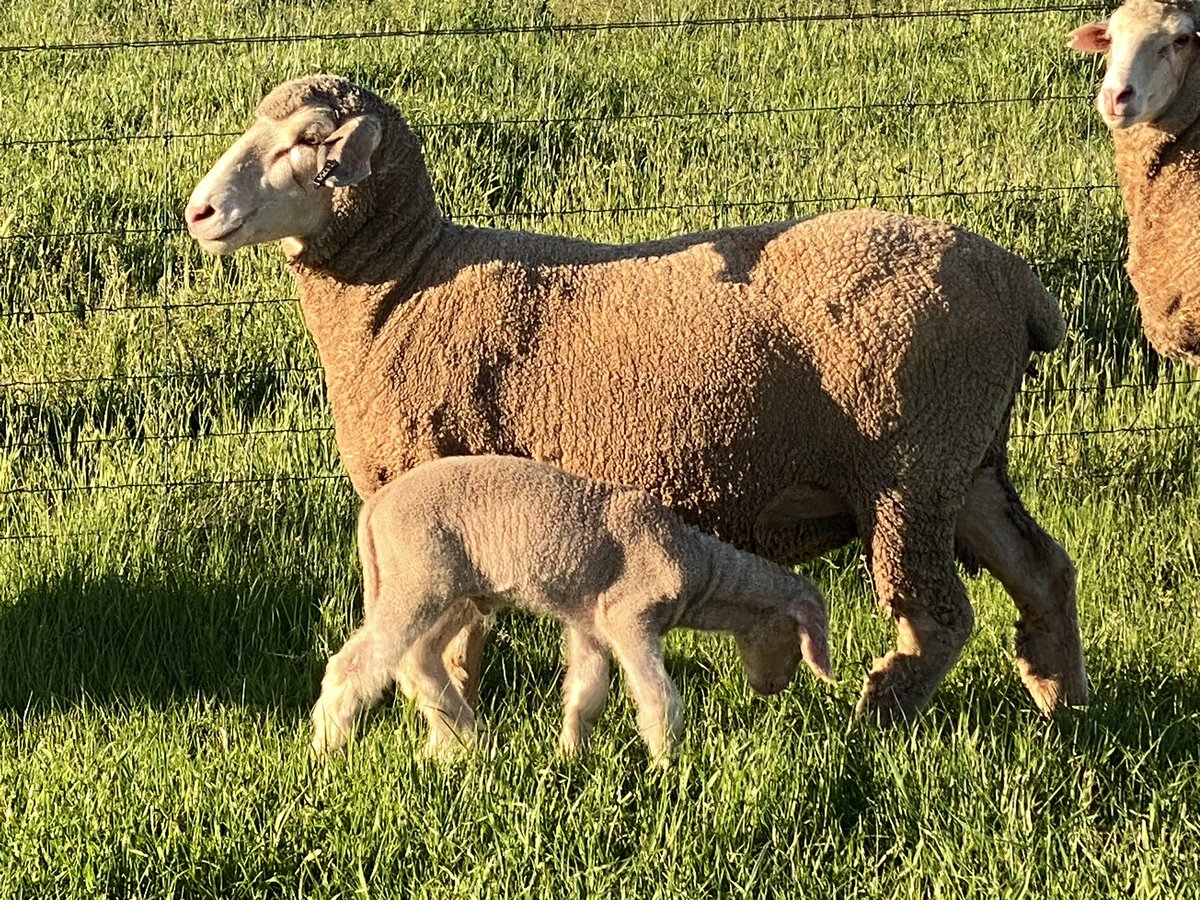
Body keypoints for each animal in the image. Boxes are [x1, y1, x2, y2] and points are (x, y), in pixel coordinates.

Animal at [185, 74, 1087, 726]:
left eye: (307, 141)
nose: (199, 212)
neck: (408, 279)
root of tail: (1022, 289)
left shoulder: (441, 476)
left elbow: (453, 633)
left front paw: (453, 720)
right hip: (965, 458)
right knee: (1042, 570)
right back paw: (1062, 703)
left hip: (908, 466)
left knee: (938, 613)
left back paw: (885, 710)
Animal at [309, 455, 832, 761]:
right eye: (796, 641)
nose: (770, 689)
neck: (699, 567)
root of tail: (374, 508)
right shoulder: (629, 616)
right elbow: (659, 699)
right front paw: (668, 768)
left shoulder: (589, 622)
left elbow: (587, 694)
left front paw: (571, 757)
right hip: (417, 579)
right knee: (355, 664)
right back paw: (328, 748)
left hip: (455, 592)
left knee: (417, 658)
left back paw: (457, 741)